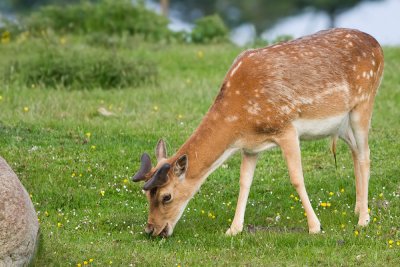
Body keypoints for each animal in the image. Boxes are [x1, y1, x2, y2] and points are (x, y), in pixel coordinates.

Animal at [132, 28, 384, 238]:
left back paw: (363, 219)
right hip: (341, 125)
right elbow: (244, 182)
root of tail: (378, 45)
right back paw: (358, 208)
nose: (151, 230)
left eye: (166, 196)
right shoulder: (250, 147)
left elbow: (297, 178)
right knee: (355, 151)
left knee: (365, 154)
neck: (241, 121)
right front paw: (233, 229)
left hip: (364, 102)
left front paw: (315, 227)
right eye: (146, 195)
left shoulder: (286, 127)